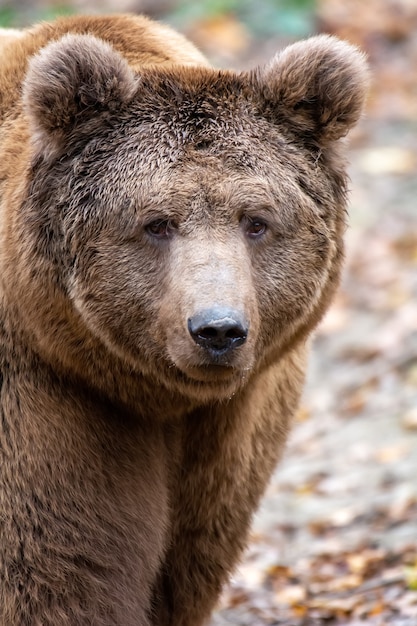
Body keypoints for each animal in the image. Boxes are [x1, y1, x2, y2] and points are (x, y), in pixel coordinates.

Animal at [0, 13, 366, 624]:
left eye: (256, 221)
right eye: (156, 222)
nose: (218, 330)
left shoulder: (232, 435)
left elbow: (187, 564)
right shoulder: (43, 400)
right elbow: (55, 569)